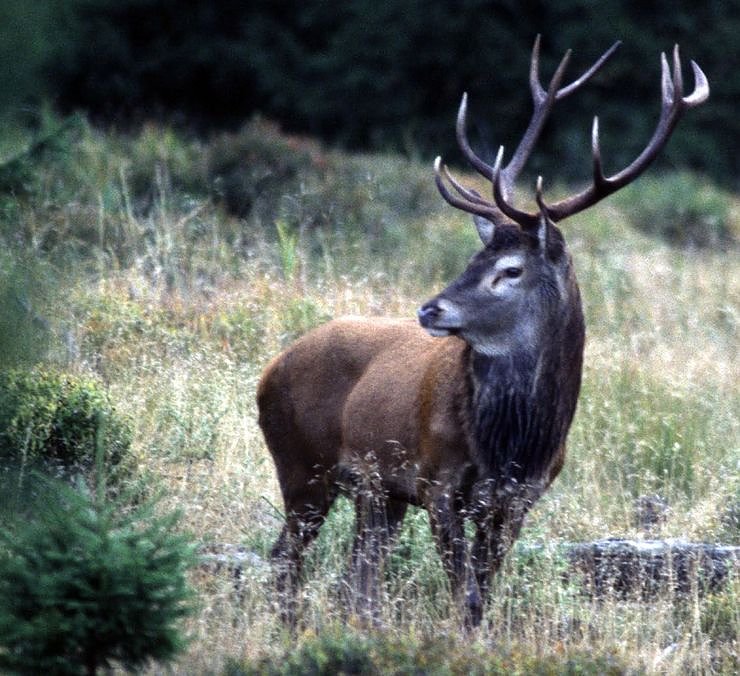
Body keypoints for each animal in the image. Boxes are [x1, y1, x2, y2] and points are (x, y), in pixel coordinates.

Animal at [257, 36, 709, 627]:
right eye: (475, 257)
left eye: (510, 270)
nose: (429, 310)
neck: (514, 444)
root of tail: (268, 371)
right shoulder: (438, 481)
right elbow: (466, 596)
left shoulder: (518, 501)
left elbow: (483, 594)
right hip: (301, 466)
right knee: (285, 560)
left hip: (376, 494)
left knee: (358, 580)